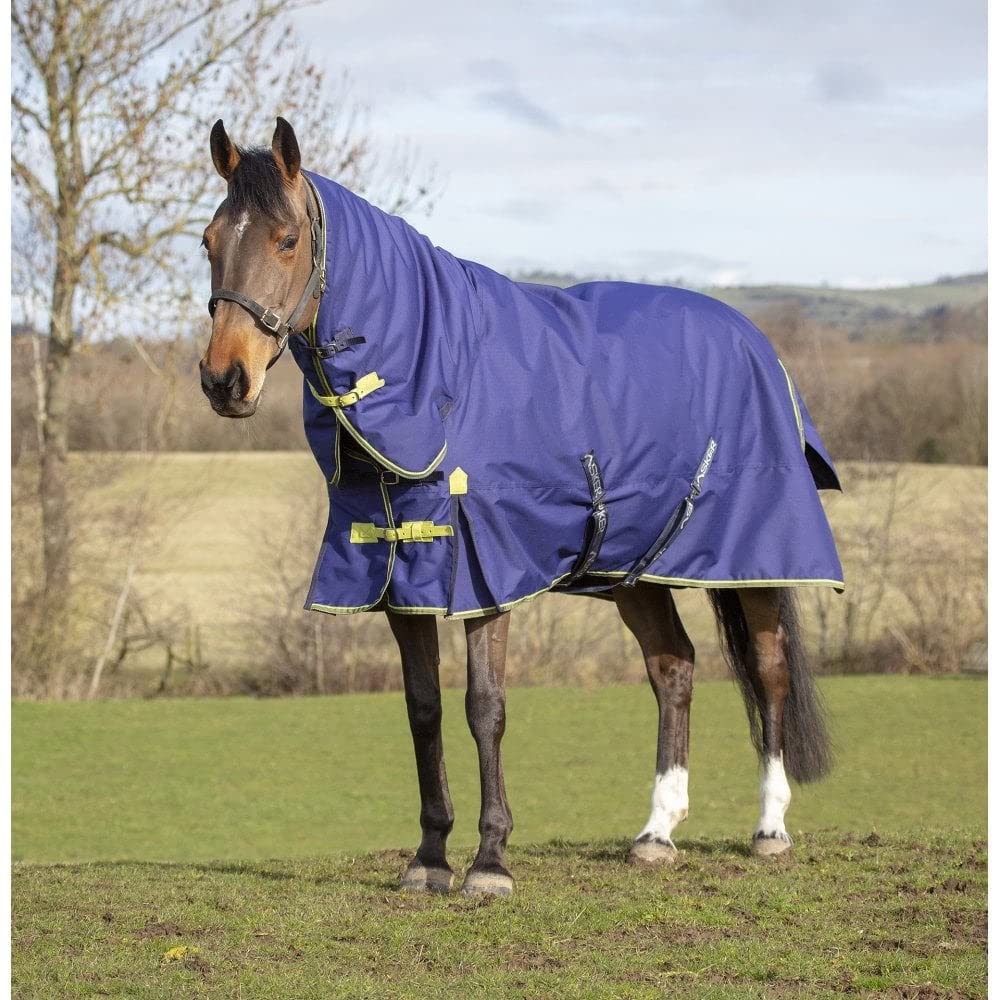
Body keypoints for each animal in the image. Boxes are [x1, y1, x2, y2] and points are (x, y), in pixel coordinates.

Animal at [199, 117, 839, 897]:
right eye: (209, 241)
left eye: (288, 239)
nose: (225, 379)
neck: (439, 379)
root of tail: (756, 342)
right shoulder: (398, 569)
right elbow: (423, 709)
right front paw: (429, 858)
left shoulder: (484, 570)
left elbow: (485, 707)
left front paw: (490, 862)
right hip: (635, 565)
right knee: (674, 668)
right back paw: (656, 833)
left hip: (758, 556)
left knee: (770, 669)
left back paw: (770, 829)